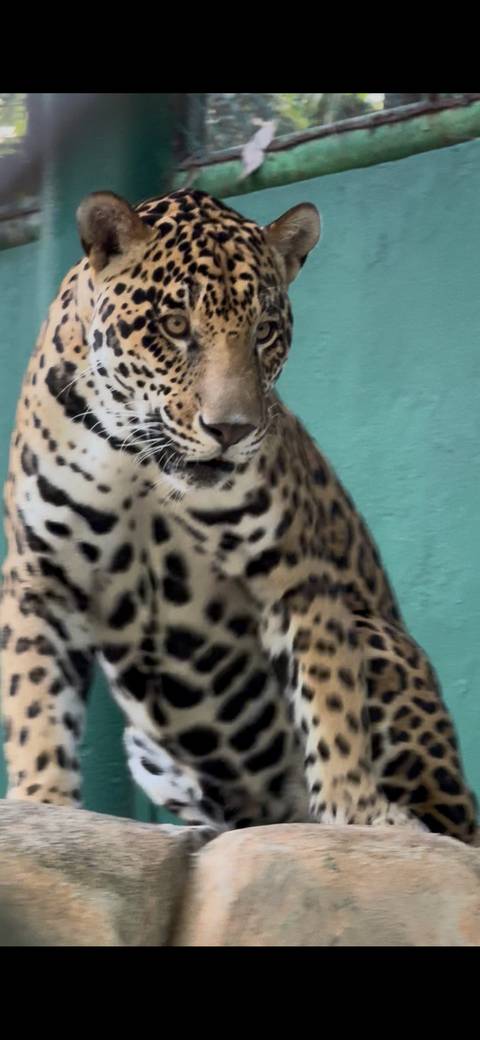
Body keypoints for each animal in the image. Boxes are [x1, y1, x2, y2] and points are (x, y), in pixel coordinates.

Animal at [0, 187, 476, 843]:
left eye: (265, 332)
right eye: (175, 326)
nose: (231, 429)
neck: (139, 460)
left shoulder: (296, 578)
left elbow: (332, 700)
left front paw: (357, 812)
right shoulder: (40, 573)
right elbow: (34, 698)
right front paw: (42, 802)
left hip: (378, 641)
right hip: (148, 750)